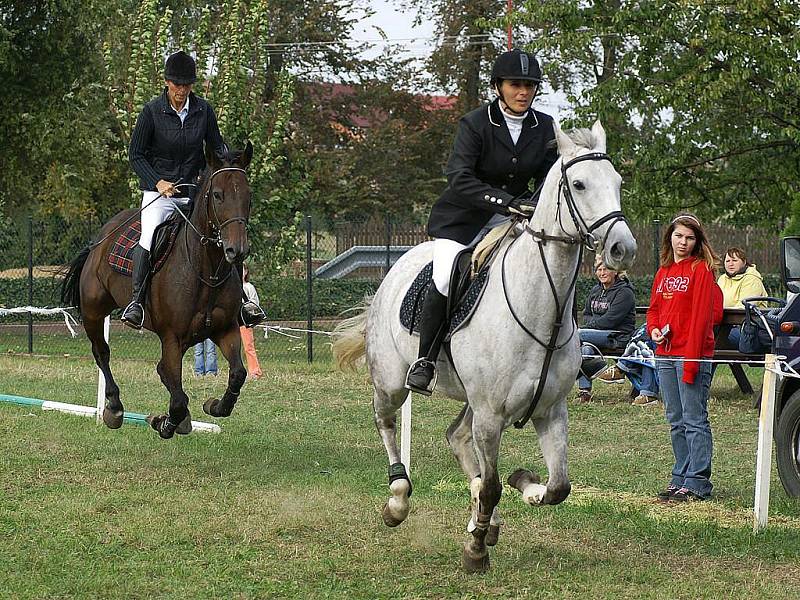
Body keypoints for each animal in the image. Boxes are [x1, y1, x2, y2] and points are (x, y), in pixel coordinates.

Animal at [62, 143, 253, 438]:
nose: (237, 250)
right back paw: (114, 408)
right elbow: (177, 399)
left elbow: (237, 375)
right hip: (94, 311)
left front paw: (213, 405)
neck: (205, 269)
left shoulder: (226, 329)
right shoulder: (171, 337)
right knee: (102, 352)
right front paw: (164, 422)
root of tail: (100, 238)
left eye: (247, 195)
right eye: (217, 195)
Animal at [332, 120, 636, 572]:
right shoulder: (492, 416)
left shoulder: (550, 411)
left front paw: (522, 486)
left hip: (471, 401)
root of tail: (398, 265)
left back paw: (483, 517)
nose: (622, 249)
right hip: (392, 383)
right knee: (386, 423)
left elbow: (558, 486)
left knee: (457, 436)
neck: (539, 308)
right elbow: (494, 486)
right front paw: (475, 549)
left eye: (617, 182)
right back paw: (399, 501)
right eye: (579, 184)